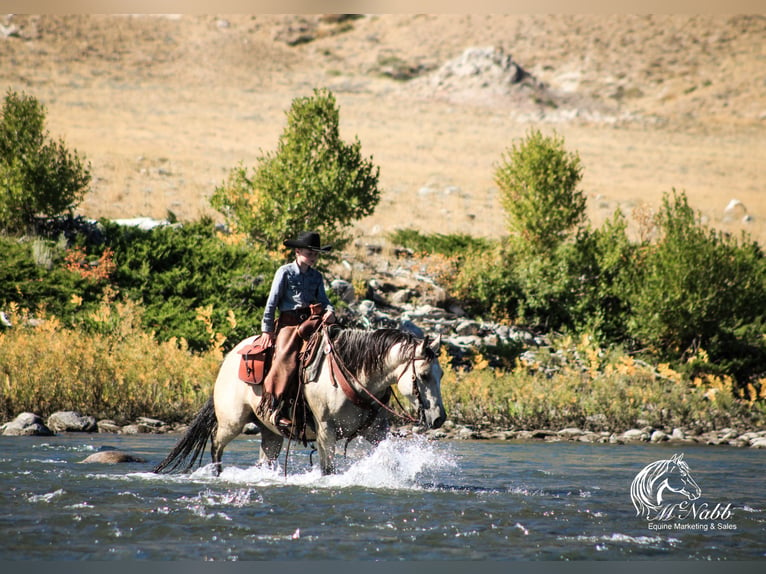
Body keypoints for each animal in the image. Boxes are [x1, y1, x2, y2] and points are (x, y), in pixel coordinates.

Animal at [153, 328, 448, 476]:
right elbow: (328, 470)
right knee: (216, 444)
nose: (439, 418)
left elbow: (390, 461)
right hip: (232, 422)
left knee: (266, 458)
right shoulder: (326, 431)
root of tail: (229, 358)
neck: (354, 376)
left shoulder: (376, 431)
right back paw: (217, 474)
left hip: (270, 432)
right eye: (423, 375)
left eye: (441, 374)